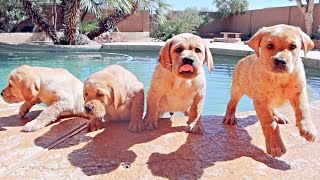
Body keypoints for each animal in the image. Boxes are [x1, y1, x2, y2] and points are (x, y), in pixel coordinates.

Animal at [222, 24, 318, 157]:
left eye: (293, 46)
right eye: (269, 46)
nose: (281, 61)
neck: (279, 78)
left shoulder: (299, 91)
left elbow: (304, 109)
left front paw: (308, 128)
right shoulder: (260, 101)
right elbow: (270, 123)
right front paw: (275, 146)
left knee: (273, 107)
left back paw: (278, 115)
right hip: (237, 89)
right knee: (231, 103)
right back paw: (230, 117)